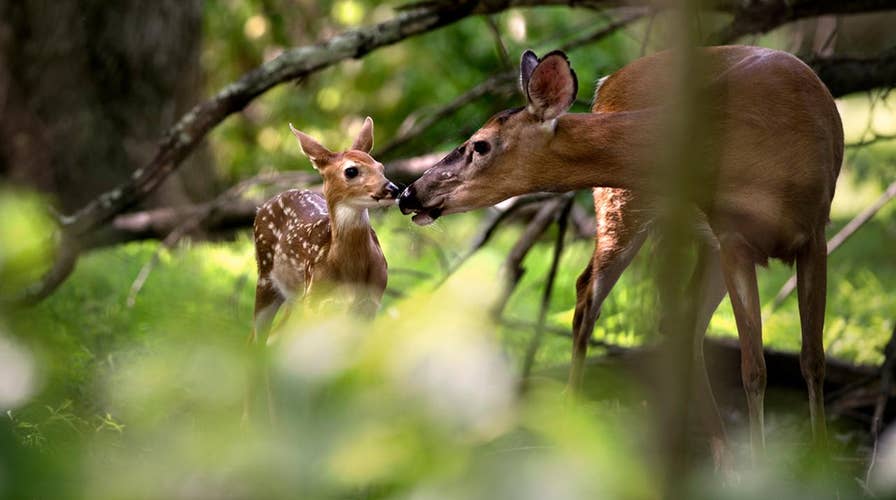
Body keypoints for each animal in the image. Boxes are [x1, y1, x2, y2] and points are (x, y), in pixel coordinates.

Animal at [245, 117, 400, 423]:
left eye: (380, 166)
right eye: (351, 171)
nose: (393, 188)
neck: (349, 268)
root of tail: (263, 205)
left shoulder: (369, 304)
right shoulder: (317, 302)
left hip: (294, 298)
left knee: (271, 342)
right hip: (267, 280)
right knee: (257, 341)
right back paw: (259, 419)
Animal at [398, 46, 843, 465]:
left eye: (481, 145)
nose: (409, 193)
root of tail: (607, 83)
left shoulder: (814, 231)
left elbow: (812, 358)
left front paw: (819, 459)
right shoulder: (732, 235)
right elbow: (755, 369)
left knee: (680, 322)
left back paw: (717, 458)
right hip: (624, 205)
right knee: (588, 297)